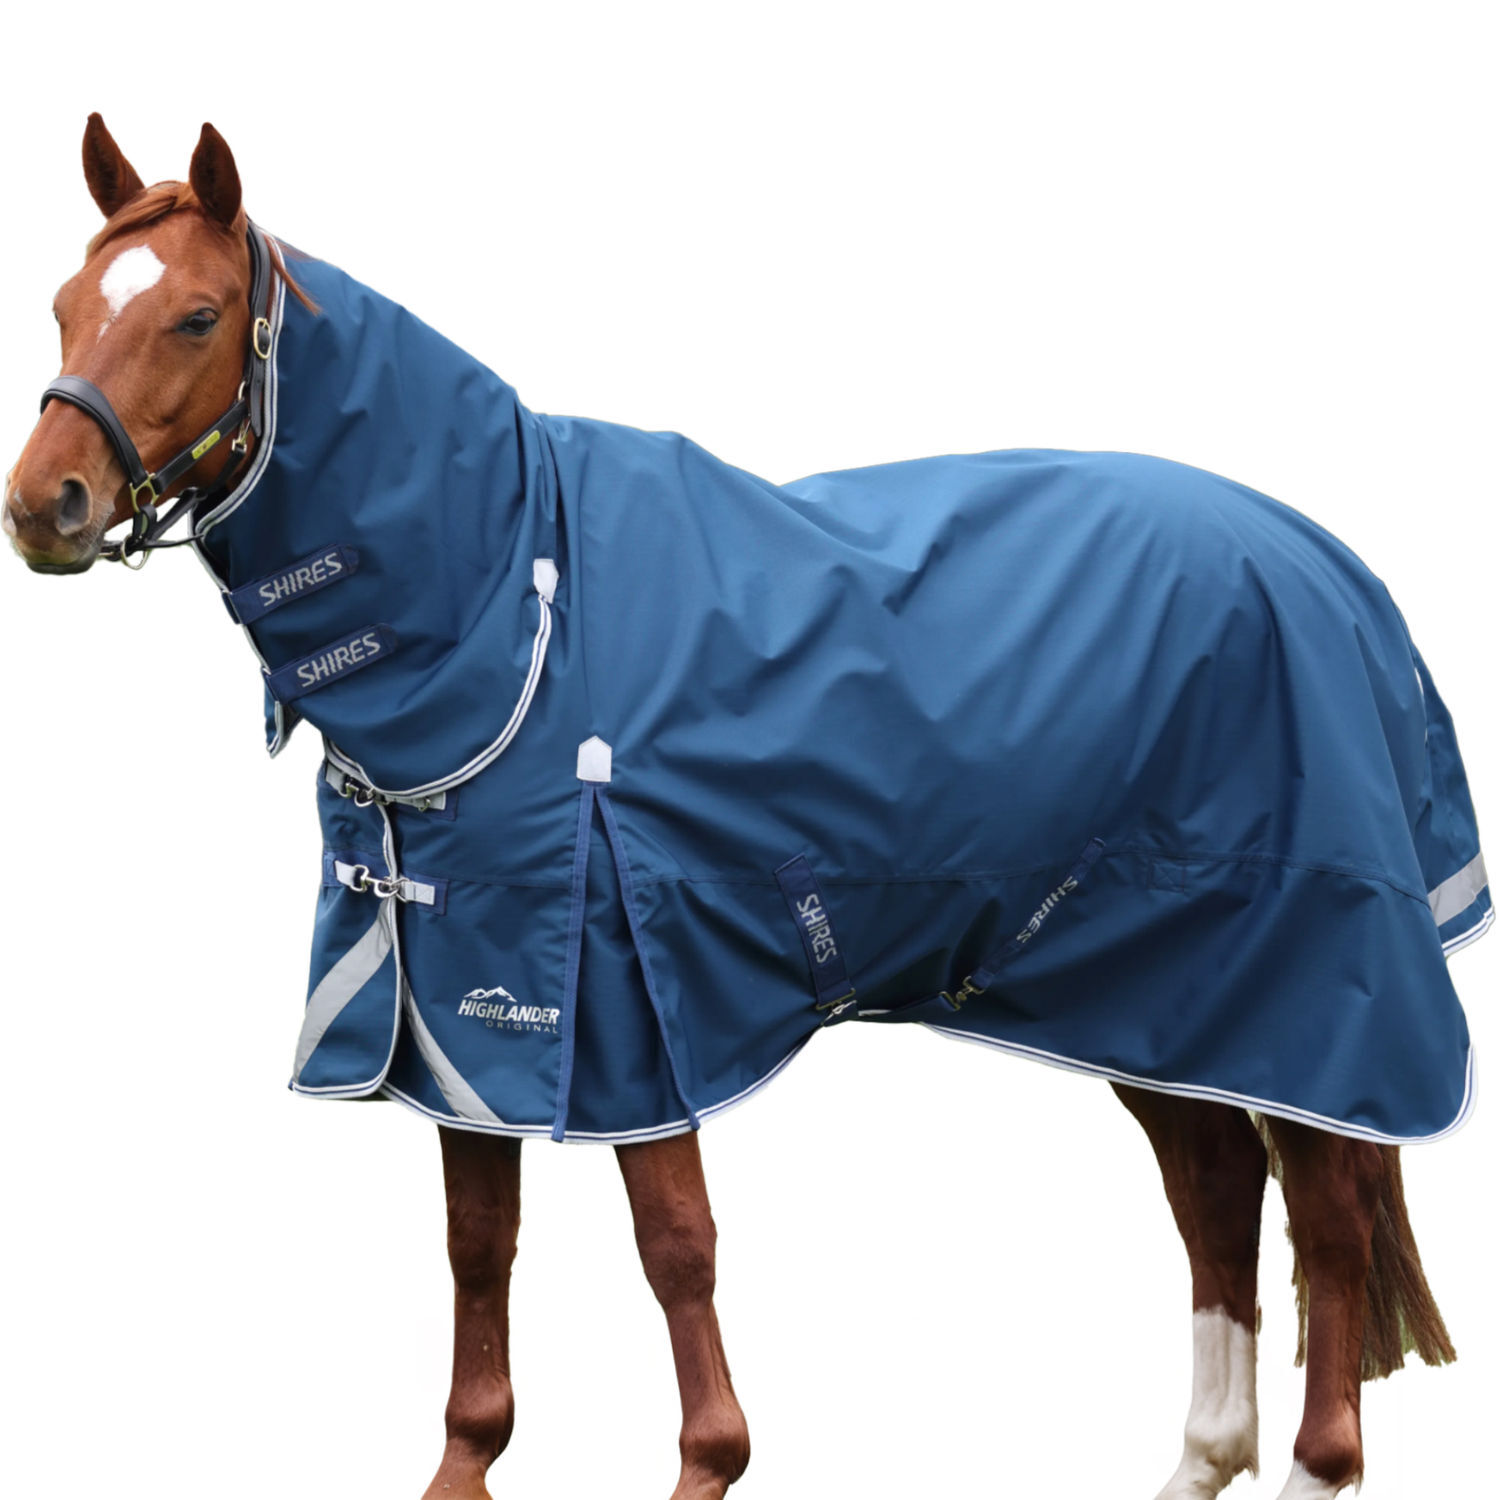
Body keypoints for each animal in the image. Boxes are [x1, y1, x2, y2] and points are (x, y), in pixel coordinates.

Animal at [5, 116, 1487, 1500]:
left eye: (197, 314)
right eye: (67, 306)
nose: (42, 504)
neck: (509, 603)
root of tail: (1325, 564)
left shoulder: (628, 1007)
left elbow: (677, 1249)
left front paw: (707, 1461)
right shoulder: (458, 1015)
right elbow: (479, 1247)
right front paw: (467, 1460)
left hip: (1311, 983)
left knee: (1330, 1215)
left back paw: (1314, 1462)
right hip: (1155, 993)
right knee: (1216, 1187)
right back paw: (1199, 1458)